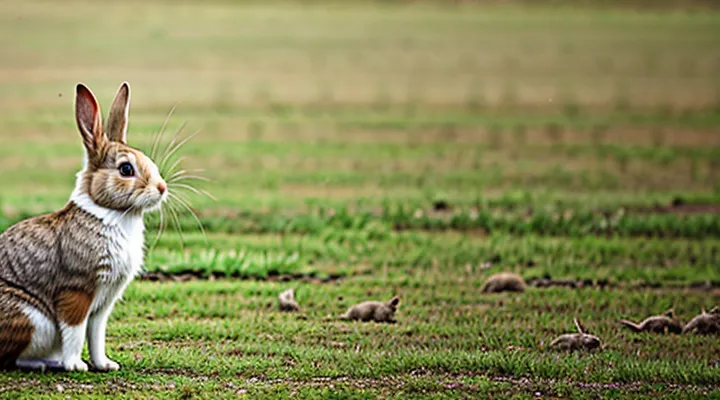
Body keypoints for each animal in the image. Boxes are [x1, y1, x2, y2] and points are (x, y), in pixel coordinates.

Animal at [0, 82, 168, 372]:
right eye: (126, 169)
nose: (162, 188)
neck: (111, 213)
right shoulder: (76, 291)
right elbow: (76, 332)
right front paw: (76, 365)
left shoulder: (103, 303)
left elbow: (96, 334)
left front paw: (105, 364)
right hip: (30, 318)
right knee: (12, 357)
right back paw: (46, 363)